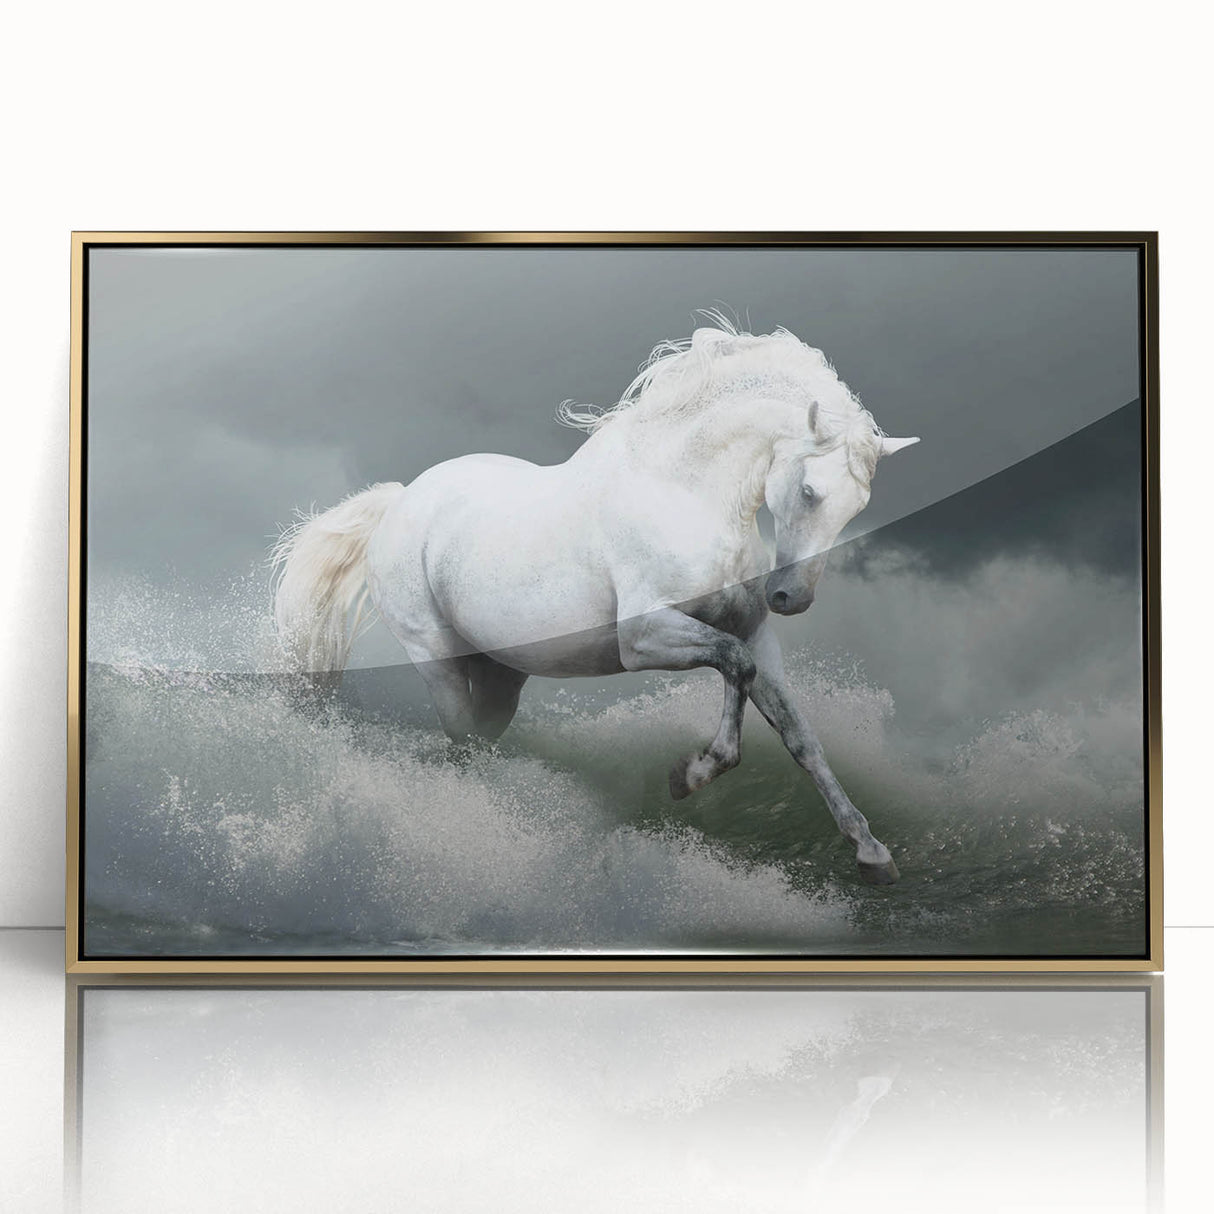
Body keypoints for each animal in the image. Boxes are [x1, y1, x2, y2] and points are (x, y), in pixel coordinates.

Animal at [272, 318, 919, 884]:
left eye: (858, 508)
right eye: (809, 491)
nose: (790, 597)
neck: (684, 494)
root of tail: (400, 500)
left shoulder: (758, 636)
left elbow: (798, 734)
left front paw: (872, 853)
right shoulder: (642, 639)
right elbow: (734, 666)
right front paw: (689, 775)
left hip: (502, 675)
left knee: (481, 736)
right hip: (436, 657)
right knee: (459, 738)